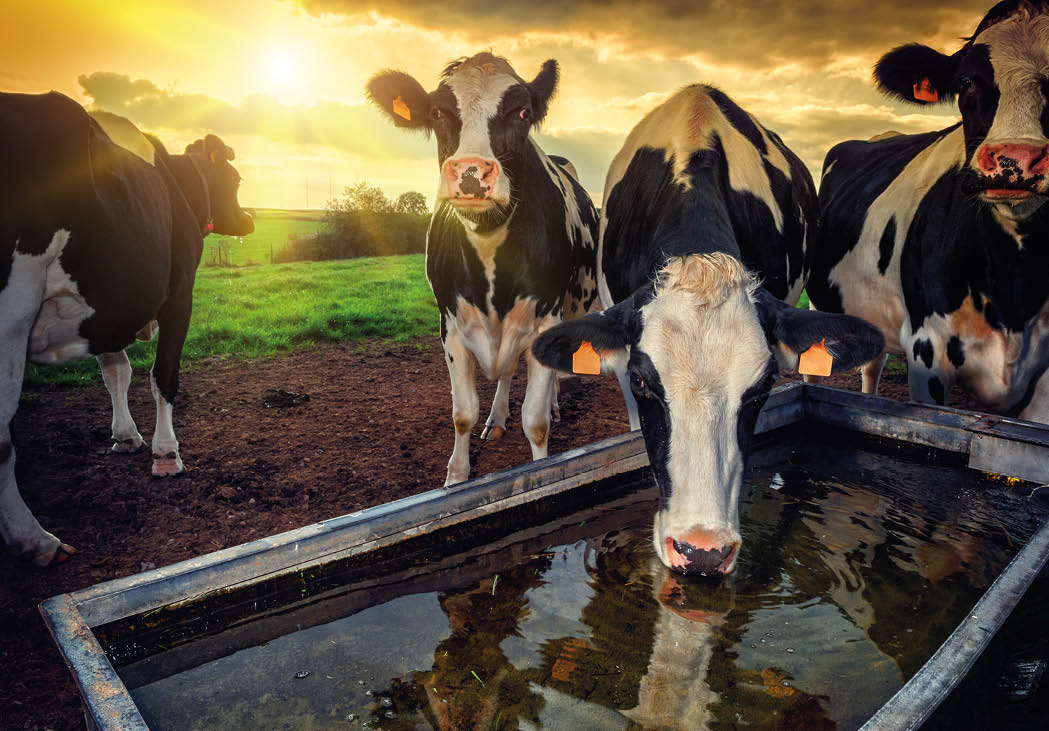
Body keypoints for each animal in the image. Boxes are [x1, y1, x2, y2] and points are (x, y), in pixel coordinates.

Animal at [0, 92, 253, 565]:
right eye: (234, 178)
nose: (248, 220)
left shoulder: (109, 305)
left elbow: (116, 372)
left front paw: (125, 436)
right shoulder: (179, 294)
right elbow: (163, 375)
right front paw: (166, 453)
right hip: (12, 315)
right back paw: (38, 540)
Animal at [367, 53, 599, 485]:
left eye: (522, 112)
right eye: (438, 112)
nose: (472, 172)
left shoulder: (545, 318)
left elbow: (535, 421)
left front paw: (543, 469)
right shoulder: (451, 325)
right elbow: (463, 414)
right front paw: (456, 477)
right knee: (505, 375)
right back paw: (497, 418)